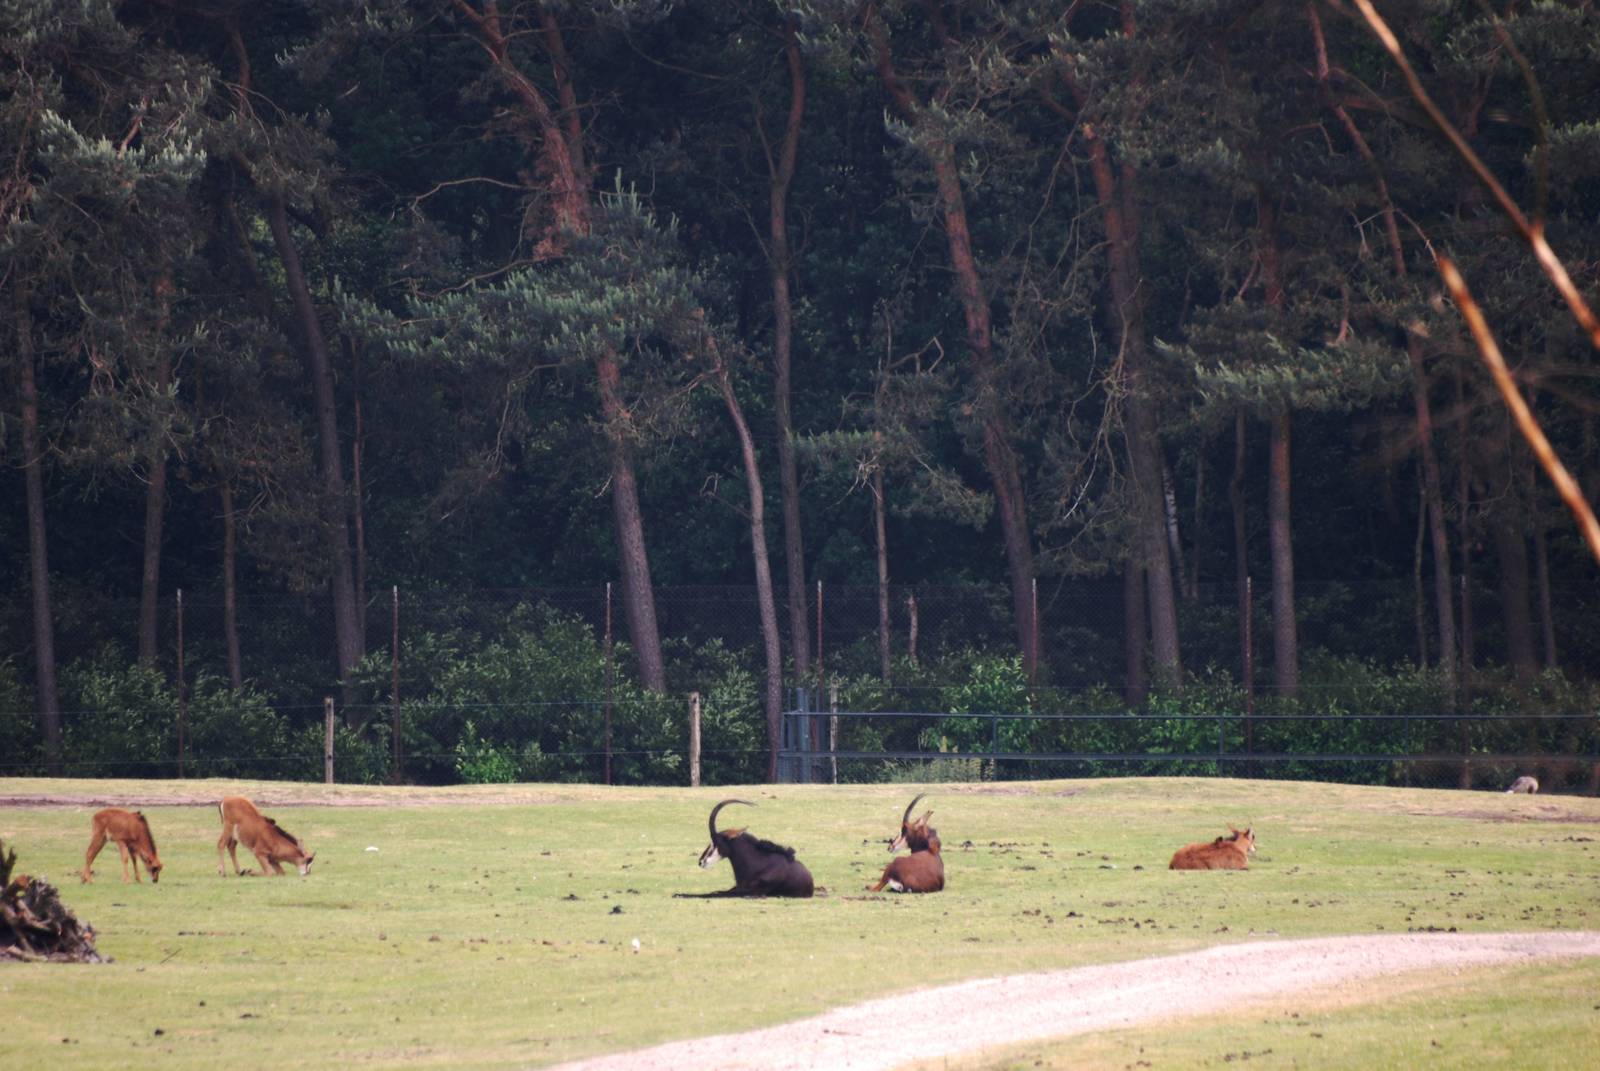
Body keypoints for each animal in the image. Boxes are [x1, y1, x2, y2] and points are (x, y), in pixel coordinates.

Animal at [675, 799, 814, 898]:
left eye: (716, 841)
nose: (701, 862)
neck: (758, 864)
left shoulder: (751, 892)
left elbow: (713, 895)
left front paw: (680, 895)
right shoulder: (737, 888)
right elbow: (715, 892)